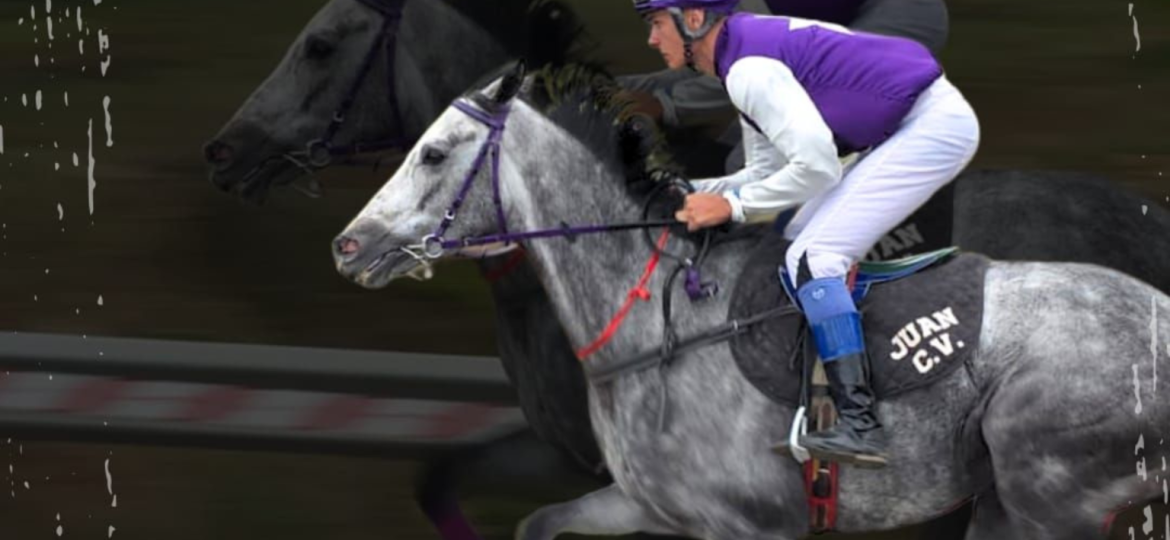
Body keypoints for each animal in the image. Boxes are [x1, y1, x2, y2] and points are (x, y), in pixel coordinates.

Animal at [203, 0, 1170, 537]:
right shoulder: (645, 501)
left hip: (1045, 493)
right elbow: (533, 523)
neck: (649, 323)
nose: (349, 245)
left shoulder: (755, 524)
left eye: (435, 154)